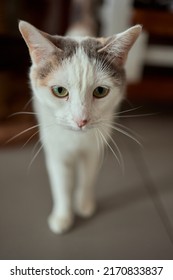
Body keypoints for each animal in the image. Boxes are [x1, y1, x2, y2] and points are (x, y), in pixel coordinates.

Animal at [18, 6, 141, 234]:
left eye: (101, 91)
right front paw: (63, 216)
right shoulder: (57, 152)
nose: (81, 120)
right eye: (59, 91)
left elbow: (87, 178)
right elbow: (62, 185)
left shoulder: (94, 150)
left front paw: (83, 204)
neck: (76, 141)